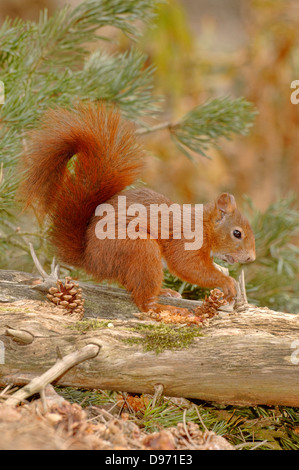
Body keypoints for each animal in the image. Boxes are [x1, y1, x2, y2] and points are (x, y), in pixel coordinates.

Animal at [19, 104, 256, 314]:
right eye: (237, 233)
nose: (251, 258)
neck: (204, 225)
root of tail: (90, 259)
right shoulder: (186, 240)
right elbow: (187, 267)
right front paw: (227, 282)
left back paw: (165, 292)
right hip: (138, 248)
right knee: (143, 300)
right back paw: (162, 308)